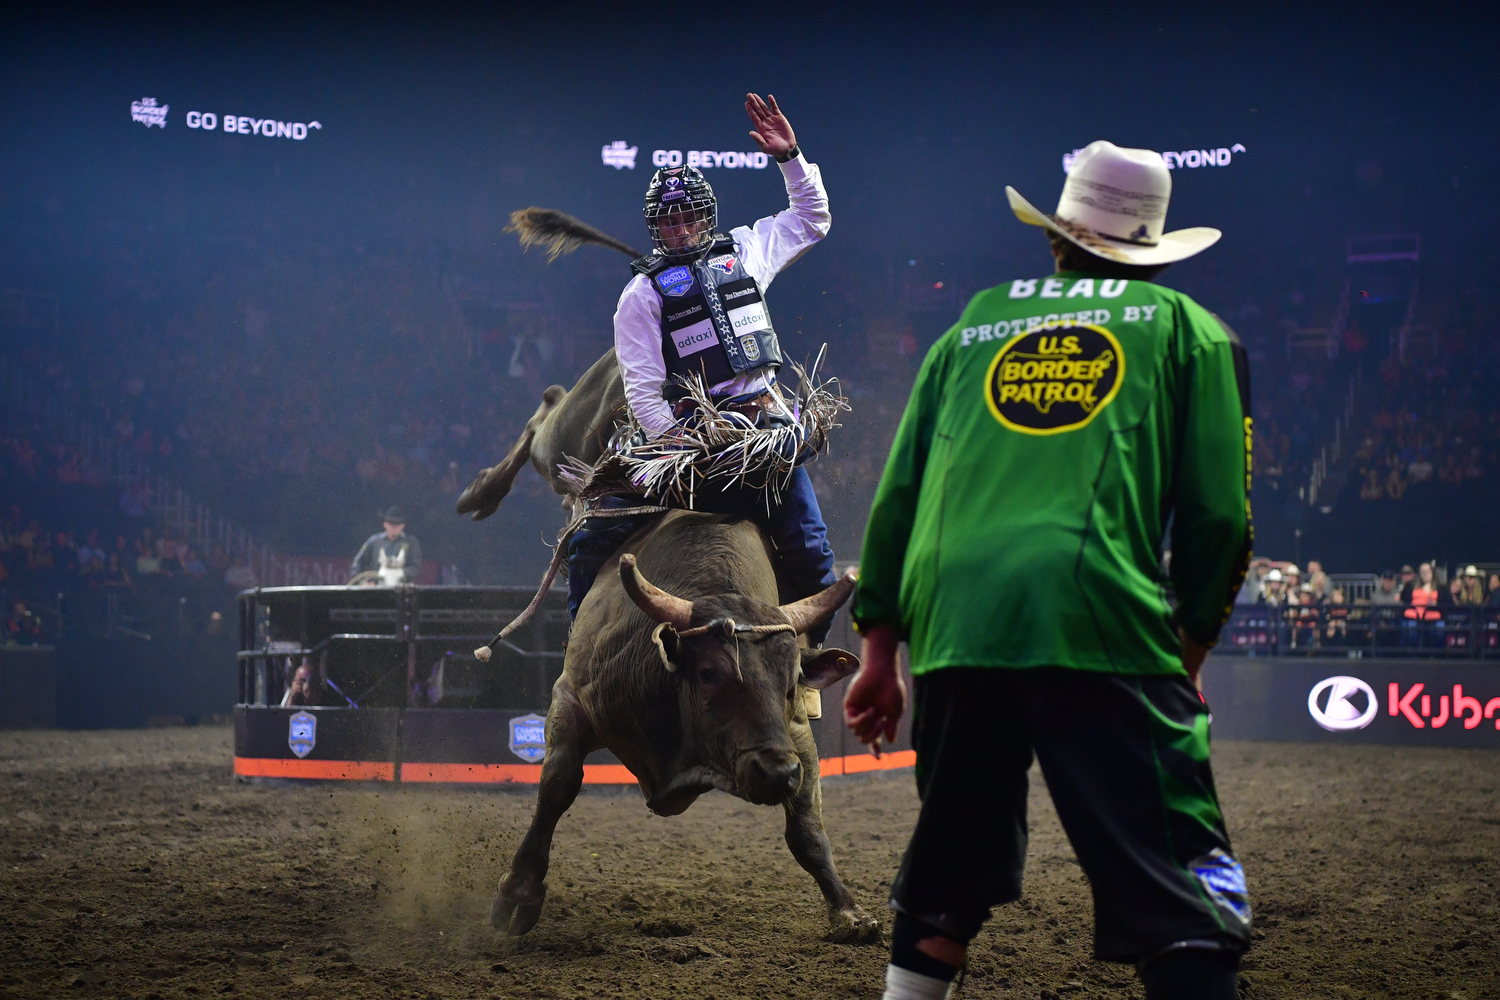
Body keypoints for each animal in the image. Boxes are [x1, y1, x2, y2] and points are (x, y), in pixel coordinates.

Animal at [453, 209, 876, 941]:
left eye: (790, 677)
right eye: (709, 674)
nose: (773, 772)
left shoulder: (794, 733)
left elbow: (808, 827)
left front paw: (847, 908)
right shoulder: (571, 702)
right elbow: (554, 792)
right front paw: (515, 898)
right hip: (575, 424)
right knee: (544, 410)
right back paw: (480, 491)